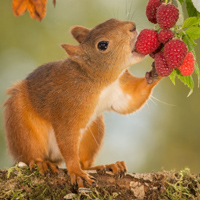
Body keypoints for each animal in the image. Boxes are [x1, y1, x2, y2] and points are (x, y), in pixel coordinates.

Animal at [3, 18, 162, 188]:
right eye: (102, 45)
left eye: (112, 20)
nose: (132, 26)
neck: (100, 81)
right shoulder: (68, 107)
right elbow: (67, 139)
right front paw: (76, 172)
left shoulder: (120, 90)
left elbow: (131, 101)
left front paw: (156, 71)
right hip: (21, 125)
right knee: (30, 153)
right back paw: (42, 163)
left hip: (93, 130)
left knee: (85, 162)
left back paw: (108, 166)